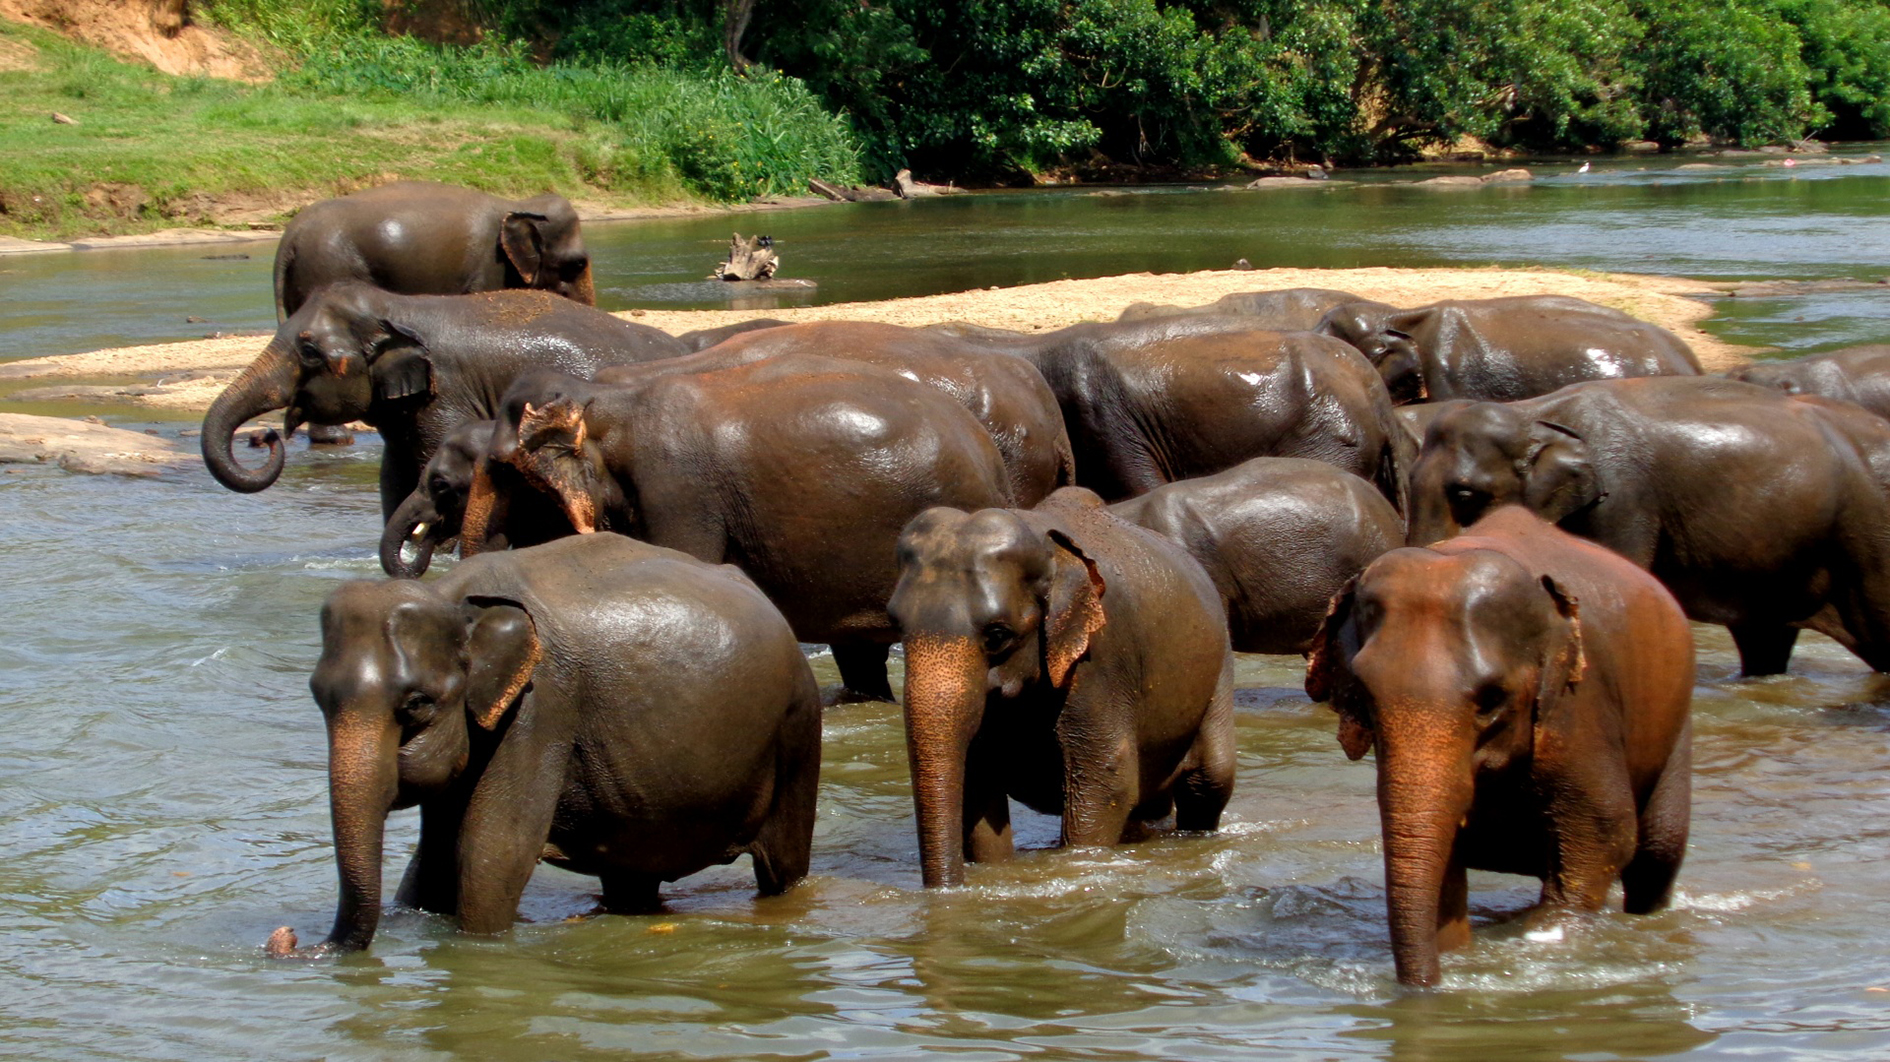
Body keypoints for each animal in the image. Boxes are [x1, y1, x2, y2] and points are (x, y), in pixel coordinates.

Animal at [264, 533, 822, 957]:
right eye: (317, 696)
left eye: (418, 704)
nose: (286, 937)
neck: (455, 599)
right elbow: (434, 860)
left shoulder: (542, 706)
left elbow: (492, 851)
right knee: (632, 877)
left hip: (797, 724)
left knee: (782, 865)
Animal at [887, 487, 1237, 888]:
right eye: (895, 624)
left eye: (997, 635)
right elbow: (977, 783)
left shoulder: (1100, 656)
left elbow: (1106, 779)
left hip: (1219, 669)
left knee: (1208, 782)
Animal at [1307, 505, 1693, 987]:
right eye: (1362, 695)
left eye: (1492, 699)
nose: (1425, 989)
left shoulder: (1579, 709)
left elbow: (1603, 836)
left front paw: (1545, 937)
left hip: (1675, 720)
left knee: (1657, 855)